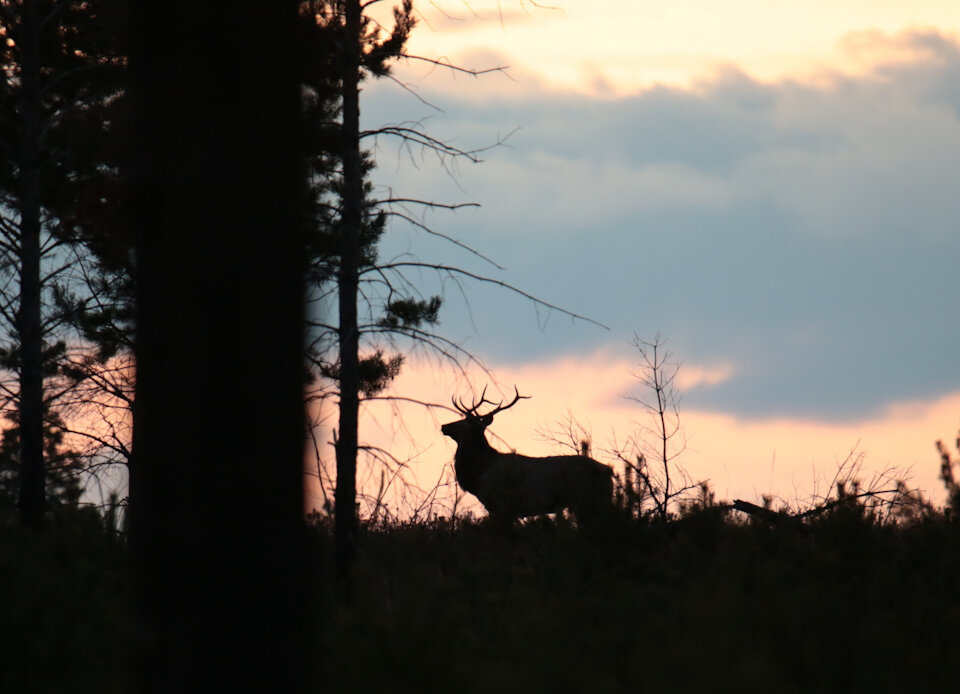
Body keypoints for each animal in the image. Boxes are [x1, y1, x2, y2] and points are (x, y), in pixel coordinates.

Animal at [442, 386, 616, 528]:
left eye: (462, 421)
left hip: (588, 498)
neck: (477, 475)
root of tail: (608, 471)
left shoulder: (499, 504)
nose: (444, 426)